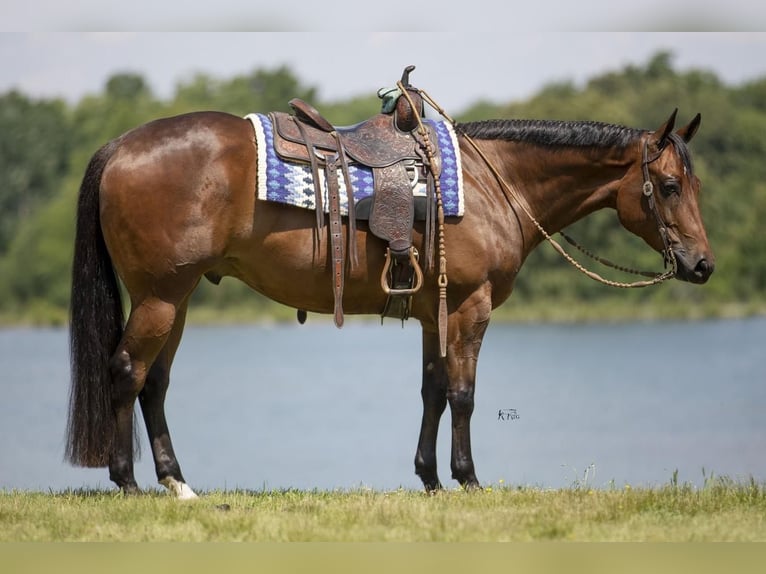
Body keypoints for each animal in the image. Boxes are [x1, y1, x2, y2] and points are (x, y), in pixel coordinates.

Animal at [64, 106, 712, 502]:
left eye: (694, 184)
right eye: (669, 186)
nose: (702, 264)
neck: (492, 182)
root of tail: (120, 146)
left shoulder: (434, 315)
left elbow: (432, 392)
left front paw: (429, 479)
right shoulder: (469, 309)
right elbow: (463, 395)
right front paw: (468, 479)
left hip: (177, 298)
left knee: (154, 383)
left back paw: (178, 484)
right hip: (160, 296)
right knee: (126, 372)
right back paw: (128, 483)